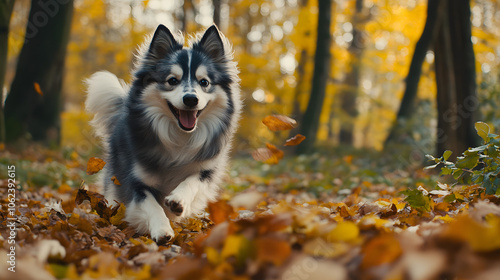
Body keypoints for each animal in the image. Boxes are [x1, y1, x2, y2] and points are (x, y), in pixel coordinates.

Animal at [85, 23, 241, 243]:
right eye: (172, 80)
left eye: (204, 82)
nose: (191, 99)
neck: (179, 136)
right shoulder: (136, 179)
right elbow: (150, 204)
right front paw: (162, 229)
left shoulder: (206, 168)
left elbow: (192, 182)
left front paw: (178, 200)